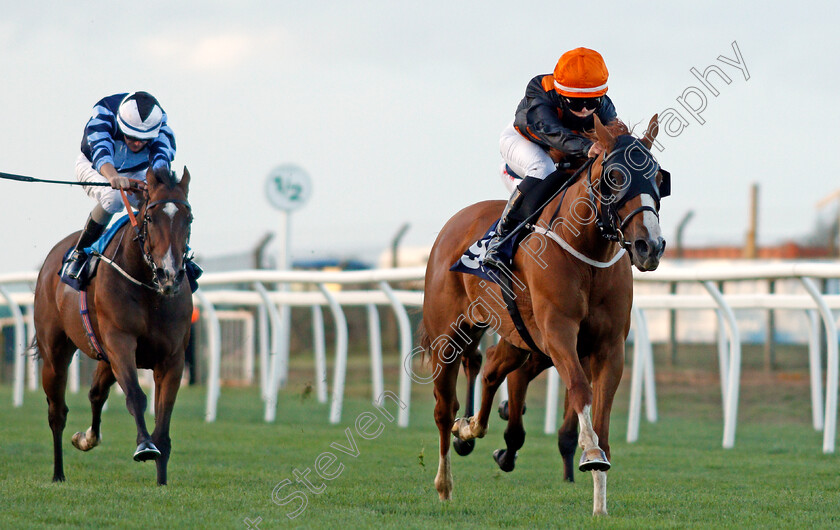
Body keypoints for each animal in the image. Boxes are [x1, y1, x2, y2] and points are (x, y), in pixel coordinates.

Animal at [34, 167, 194, 484]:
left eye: (188, 219)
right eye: (150, 218)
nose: (170, 275)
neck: (149, 288)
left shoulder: (172, 357)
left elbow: (164, 415)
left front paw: (162, 480)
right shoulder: (120, 342)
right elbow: (135, 396)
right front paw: (145, 446)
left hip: (104, 357)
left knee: (96, 393)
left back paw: (87, 438)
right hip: (55, 353)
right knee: (57, 411)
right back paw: (58, 474)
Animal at [420, 114, 668, 512]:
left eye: (659, 177)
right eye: (615, 175)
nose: (651, 246)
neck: (589, 254)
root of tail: (455, 222)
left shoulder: (609, 346)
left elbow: (602, 413)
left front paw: (600, 499)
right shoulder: (559, 333)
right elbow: (580, 388)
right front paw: (590, 456)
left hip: (517, 336)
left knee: (492, 366)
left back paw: (470, 428)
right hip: (448, 336)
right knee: (444, 409)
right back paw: (445, 482)